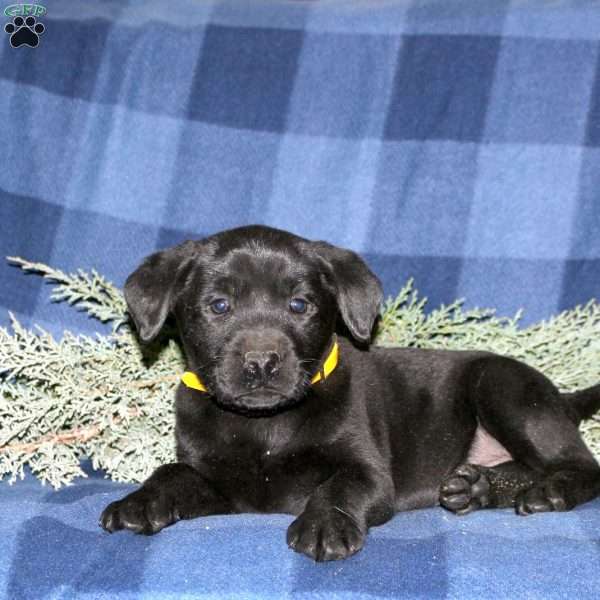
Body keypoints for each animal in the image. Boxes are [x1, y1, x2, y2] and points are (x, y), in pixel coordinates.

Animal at [101, 225, 600, 564]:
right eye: (219, 305)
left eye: (299, 305)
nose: (262, 363)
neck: (265, 428)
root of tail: (560, 397)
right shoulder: (221, 486)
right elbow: (173, 472)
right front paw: (140, 502)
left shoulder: (370, 471)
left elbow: (339, 484)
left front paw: (324, 525)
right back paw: (476, 486)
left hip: (503, 388)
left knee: (582, 465)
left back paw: (548, 490)